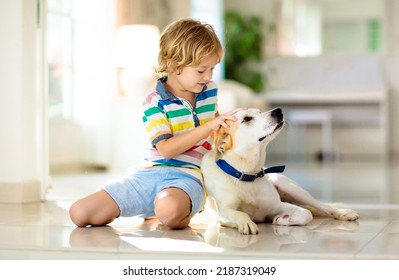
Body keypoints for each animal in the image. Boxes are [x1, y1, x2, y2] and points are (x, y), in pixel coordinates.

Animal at [202, 107, 360, 234]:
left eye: (260, 111)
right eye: (246, 119)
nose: (278, 111)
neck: (247, 174)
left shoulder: (278, 205)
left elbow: (306, 213)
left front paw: (284, 219)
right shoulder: (223, 212)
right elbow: (239, 214)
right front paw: (246, 223)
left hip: (291, 187)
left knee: (322, 206)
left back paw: (343, 213)